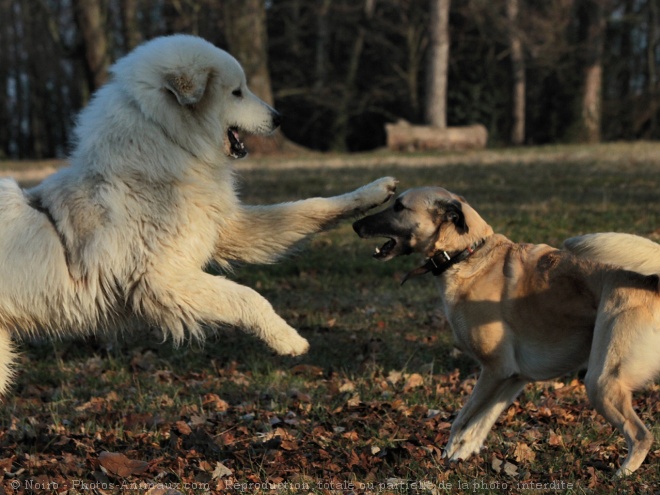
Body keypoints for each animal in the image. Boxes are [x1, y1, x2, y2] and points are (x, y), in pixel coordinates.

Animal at [0, 35, 394, 398]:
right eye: (237, 92)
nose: (279, 118)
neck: (166, 149)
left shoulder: (228, 231)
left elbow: (310, 208)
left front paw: (374, 191)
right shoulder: (162, 280)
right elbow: (247, 296)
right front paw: (287, 339)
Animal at [356, 186, 660, 476]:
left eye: (399, 206)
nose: (355, 224)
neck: (467, 254)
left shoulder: (494, 370)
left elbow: (461, 421)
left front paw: (446, 458)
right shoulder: (513, 376)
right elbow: (480, 423)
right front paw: (460, 456)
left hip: (601, 381)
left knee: (641, 435)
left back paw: (621, 475)